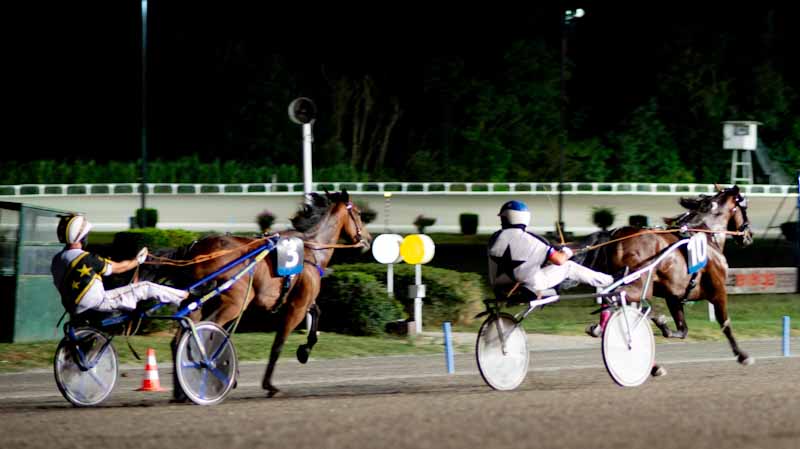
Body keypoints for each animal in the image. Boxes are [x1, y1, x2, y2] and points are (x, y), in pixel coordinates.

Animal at [172, 189, 372, 396]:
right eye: (358, 214)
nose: (368, 239)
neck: (311, 249)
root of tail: (194, 247)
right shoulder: (296, 307)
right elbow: (278, 344)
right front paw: (270, 384)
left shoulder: (301, 299)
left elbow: (316, 312)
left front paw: (304, 351)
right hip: (234, 302)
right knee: (205, 332)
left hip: (196, 301)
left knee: (180, 338)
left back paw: (180, 391)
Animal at [580, 186, 752, 364]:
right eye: (744, 207)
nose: (749, 235)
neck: (706, 234)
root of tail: (617, 236)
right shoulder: (718, 291)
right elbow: (725, 323)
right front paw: (741, 354)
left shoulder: (674, 296)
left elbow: (683, 330)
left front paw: (664, 326)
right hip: (640, 286)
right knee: (614, 298)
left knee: (610, 299)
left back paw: (600, 329)